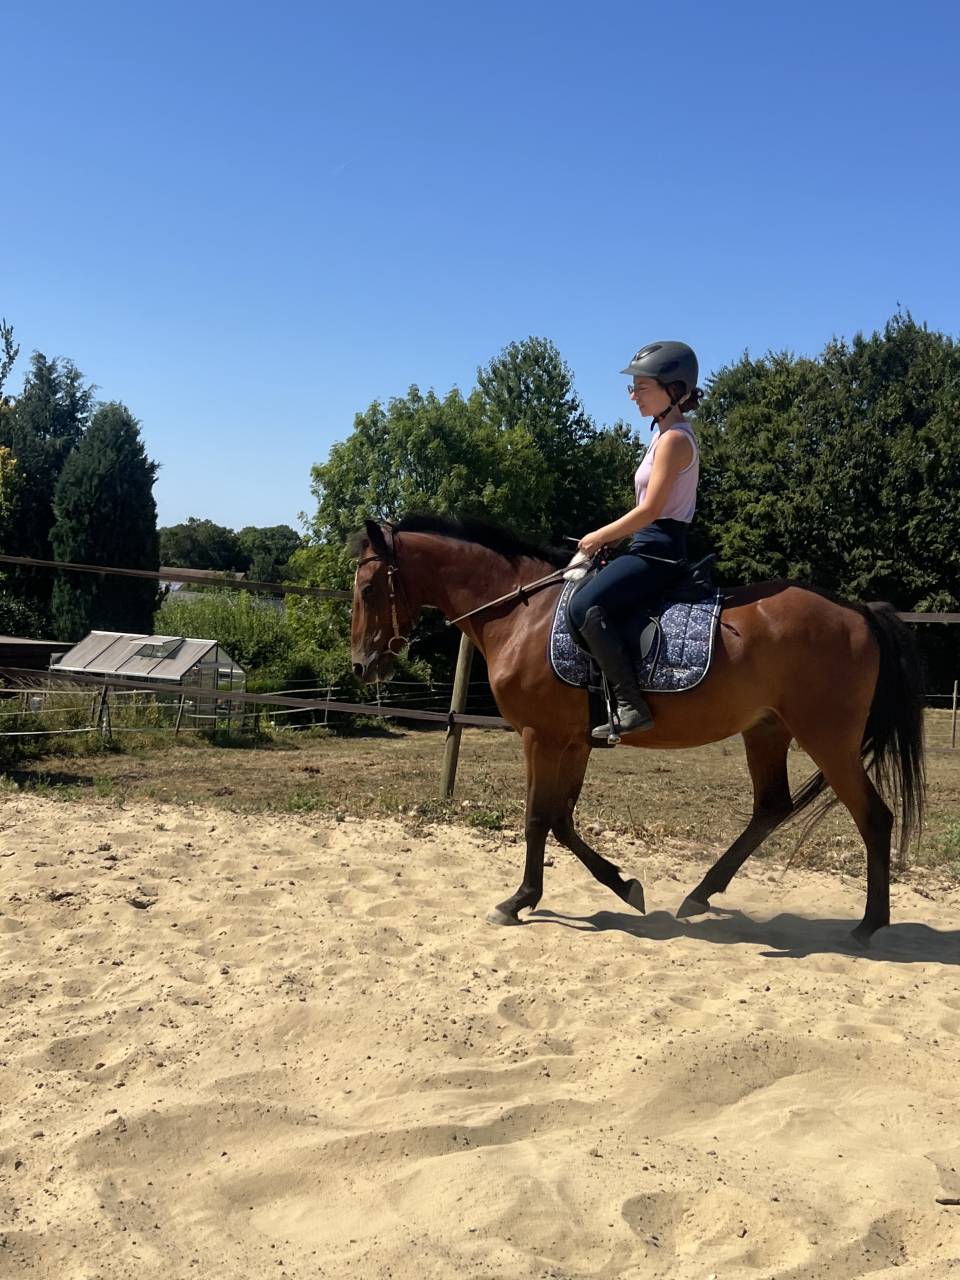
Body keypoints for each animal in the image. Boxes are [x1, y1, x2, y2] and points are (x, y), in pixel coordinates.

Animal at [349, 514, 926, 945]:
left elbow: (536, 819)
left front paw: (517, 901)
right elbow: (561, 819)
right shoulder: (575, 741)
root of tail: (857, 611)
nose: (361, 666)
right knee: (771, 807)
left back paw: (868, 925)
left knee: (874, 817)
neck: (521, 615)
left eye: (370, 587)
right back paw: (700, 895)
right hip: (767, 730)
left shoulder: (540, 736)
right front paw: (624, 885)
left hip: (827, 739)